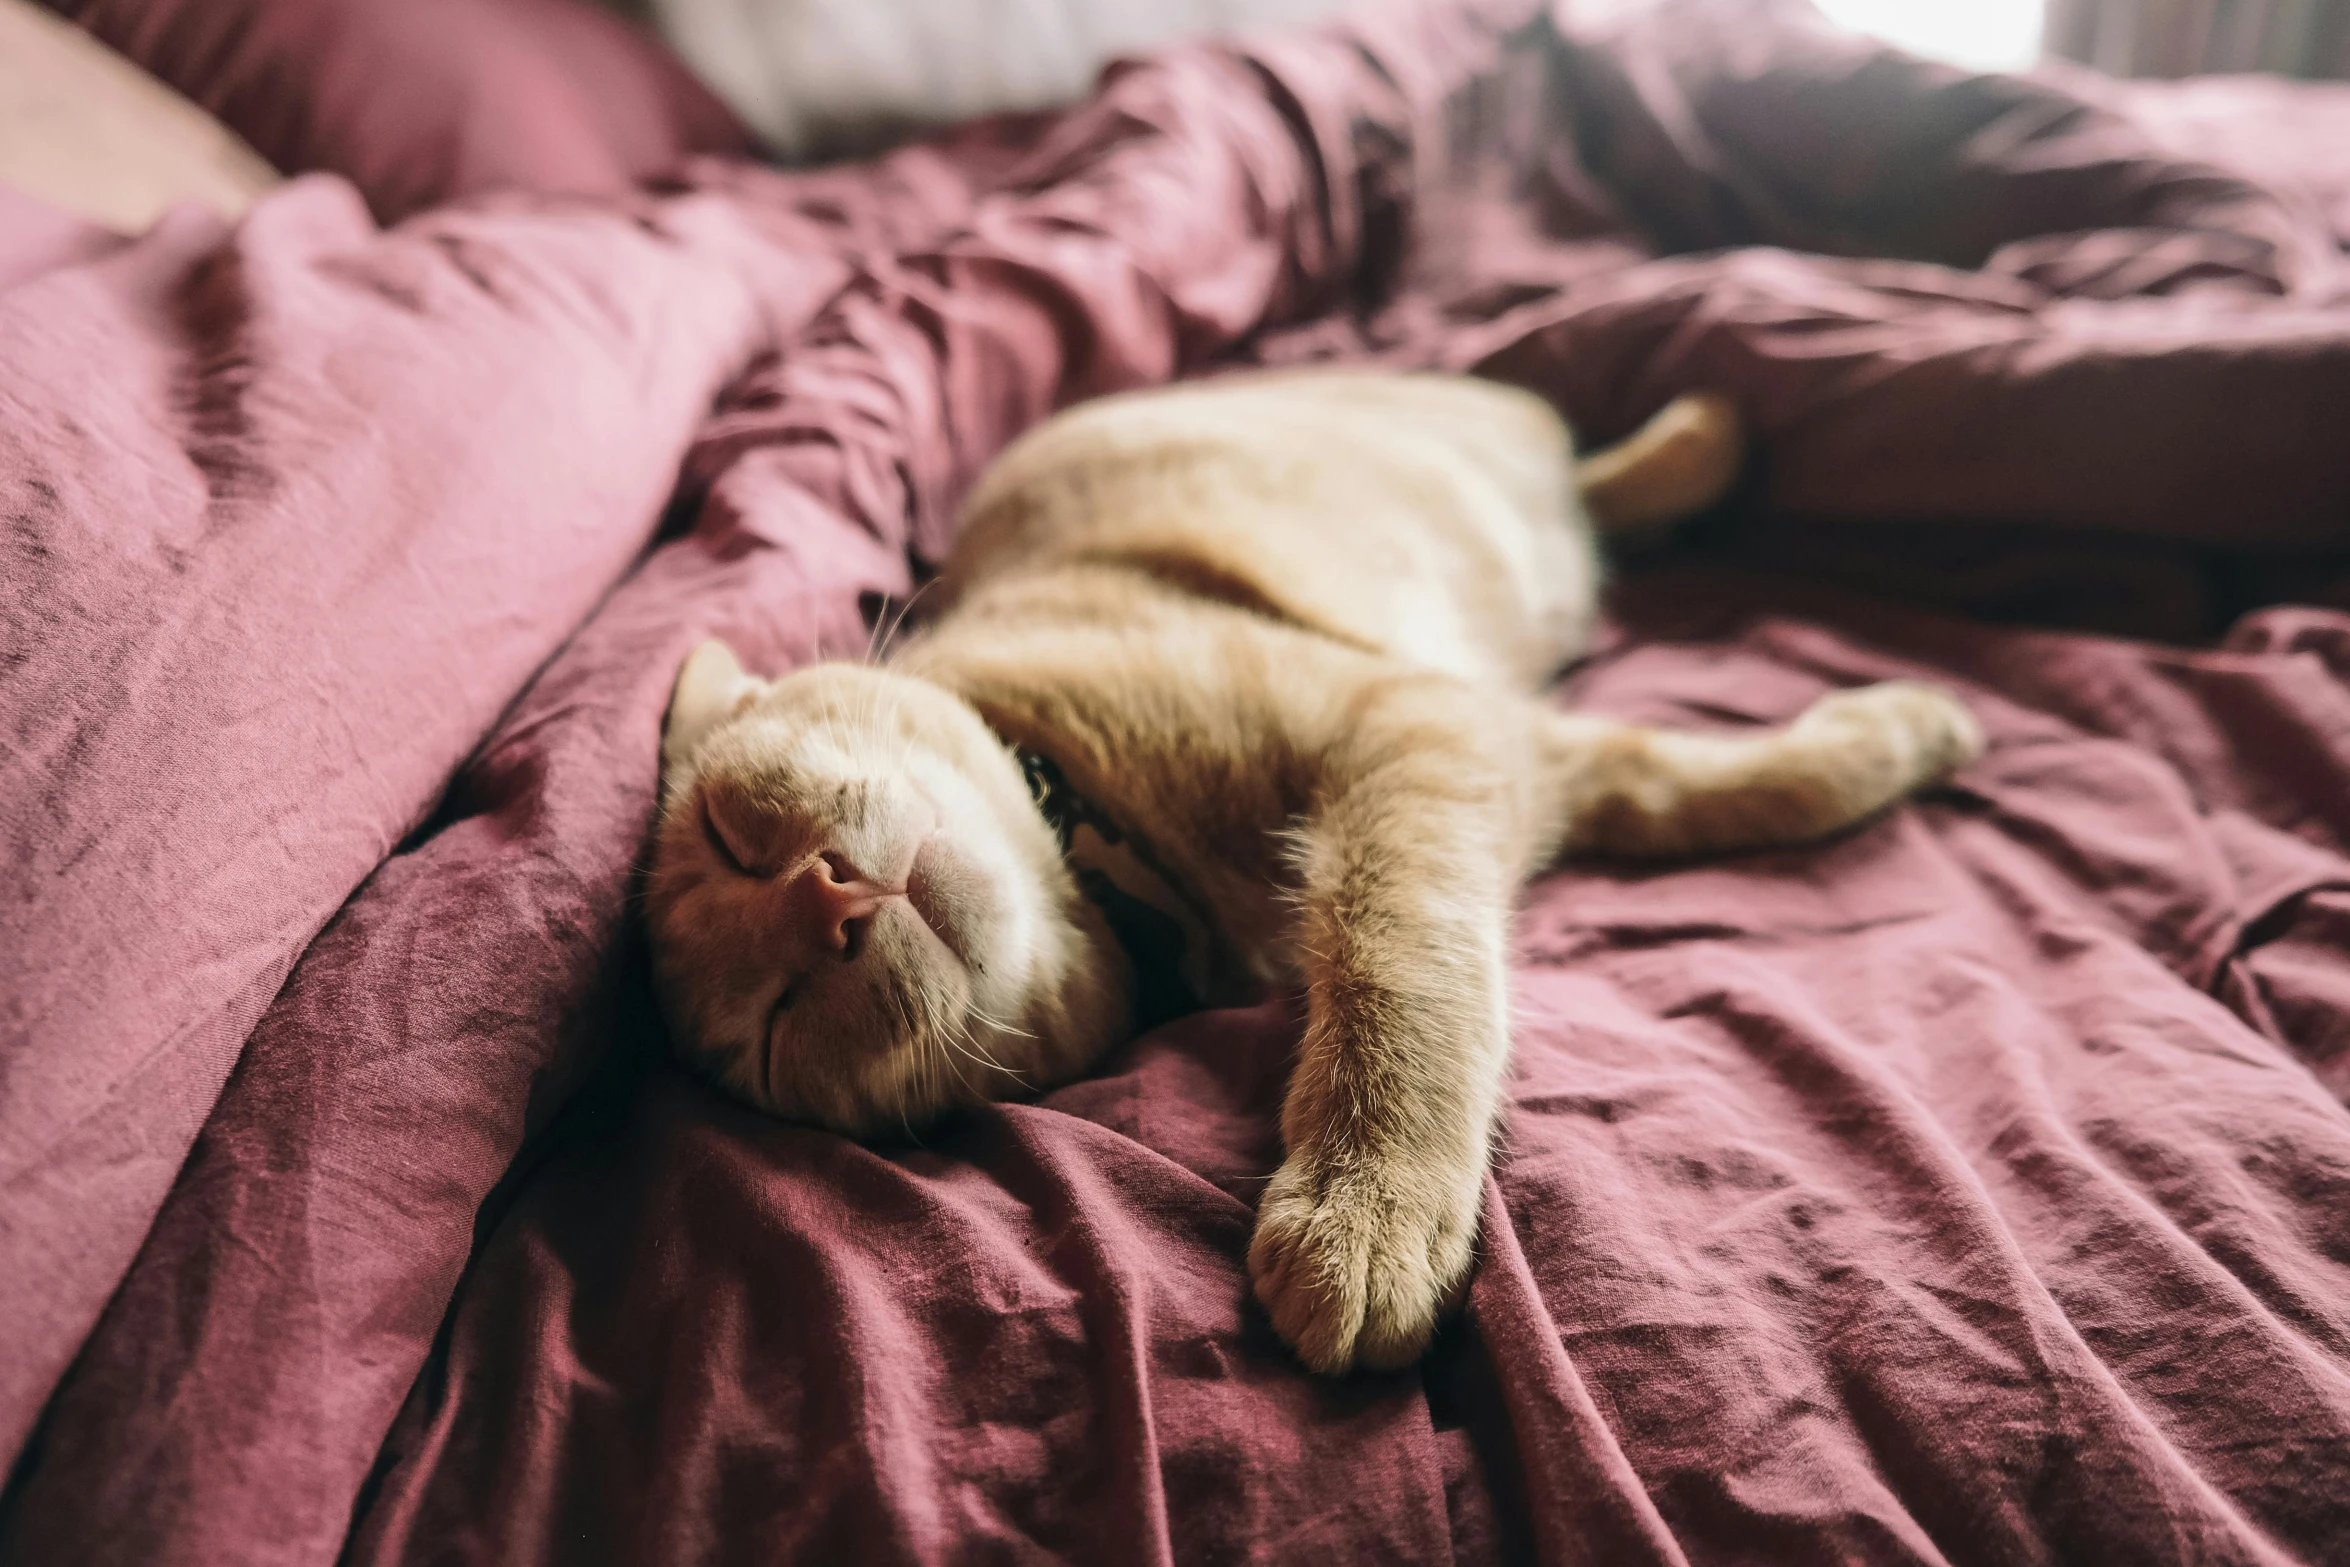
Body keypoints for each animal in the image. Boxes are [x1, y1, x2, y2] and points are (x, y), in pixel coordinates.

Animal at [648, 373, 1983, 1381]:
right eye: (773, 1028)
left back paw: (1702, 435)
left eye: (732, 832)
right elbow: (1714, 788)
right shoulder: (1510, 754)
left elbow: (1403, 955)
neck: (1110, 844)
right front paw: (1900, 736)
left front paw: (1367, 1201)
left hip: (1449, 436)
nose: (824, 900)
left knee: (1563, 454)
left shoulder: (1413, 734)